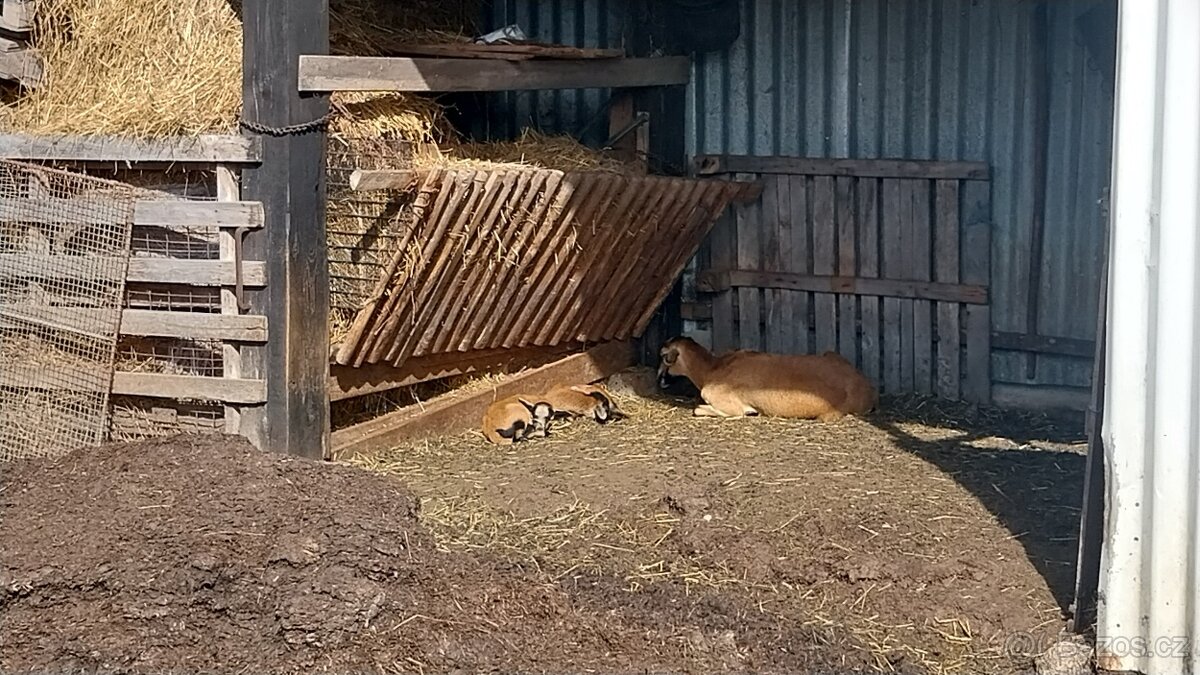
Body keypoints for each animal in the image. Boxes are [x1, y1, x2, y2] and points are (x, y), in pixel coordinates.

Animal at [662, 336, 878, 420]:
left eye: (664, 357)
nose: (661, 381)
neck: (712, 368)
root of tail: (866, 390)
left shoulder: (729, 404)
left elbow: (699, 409)